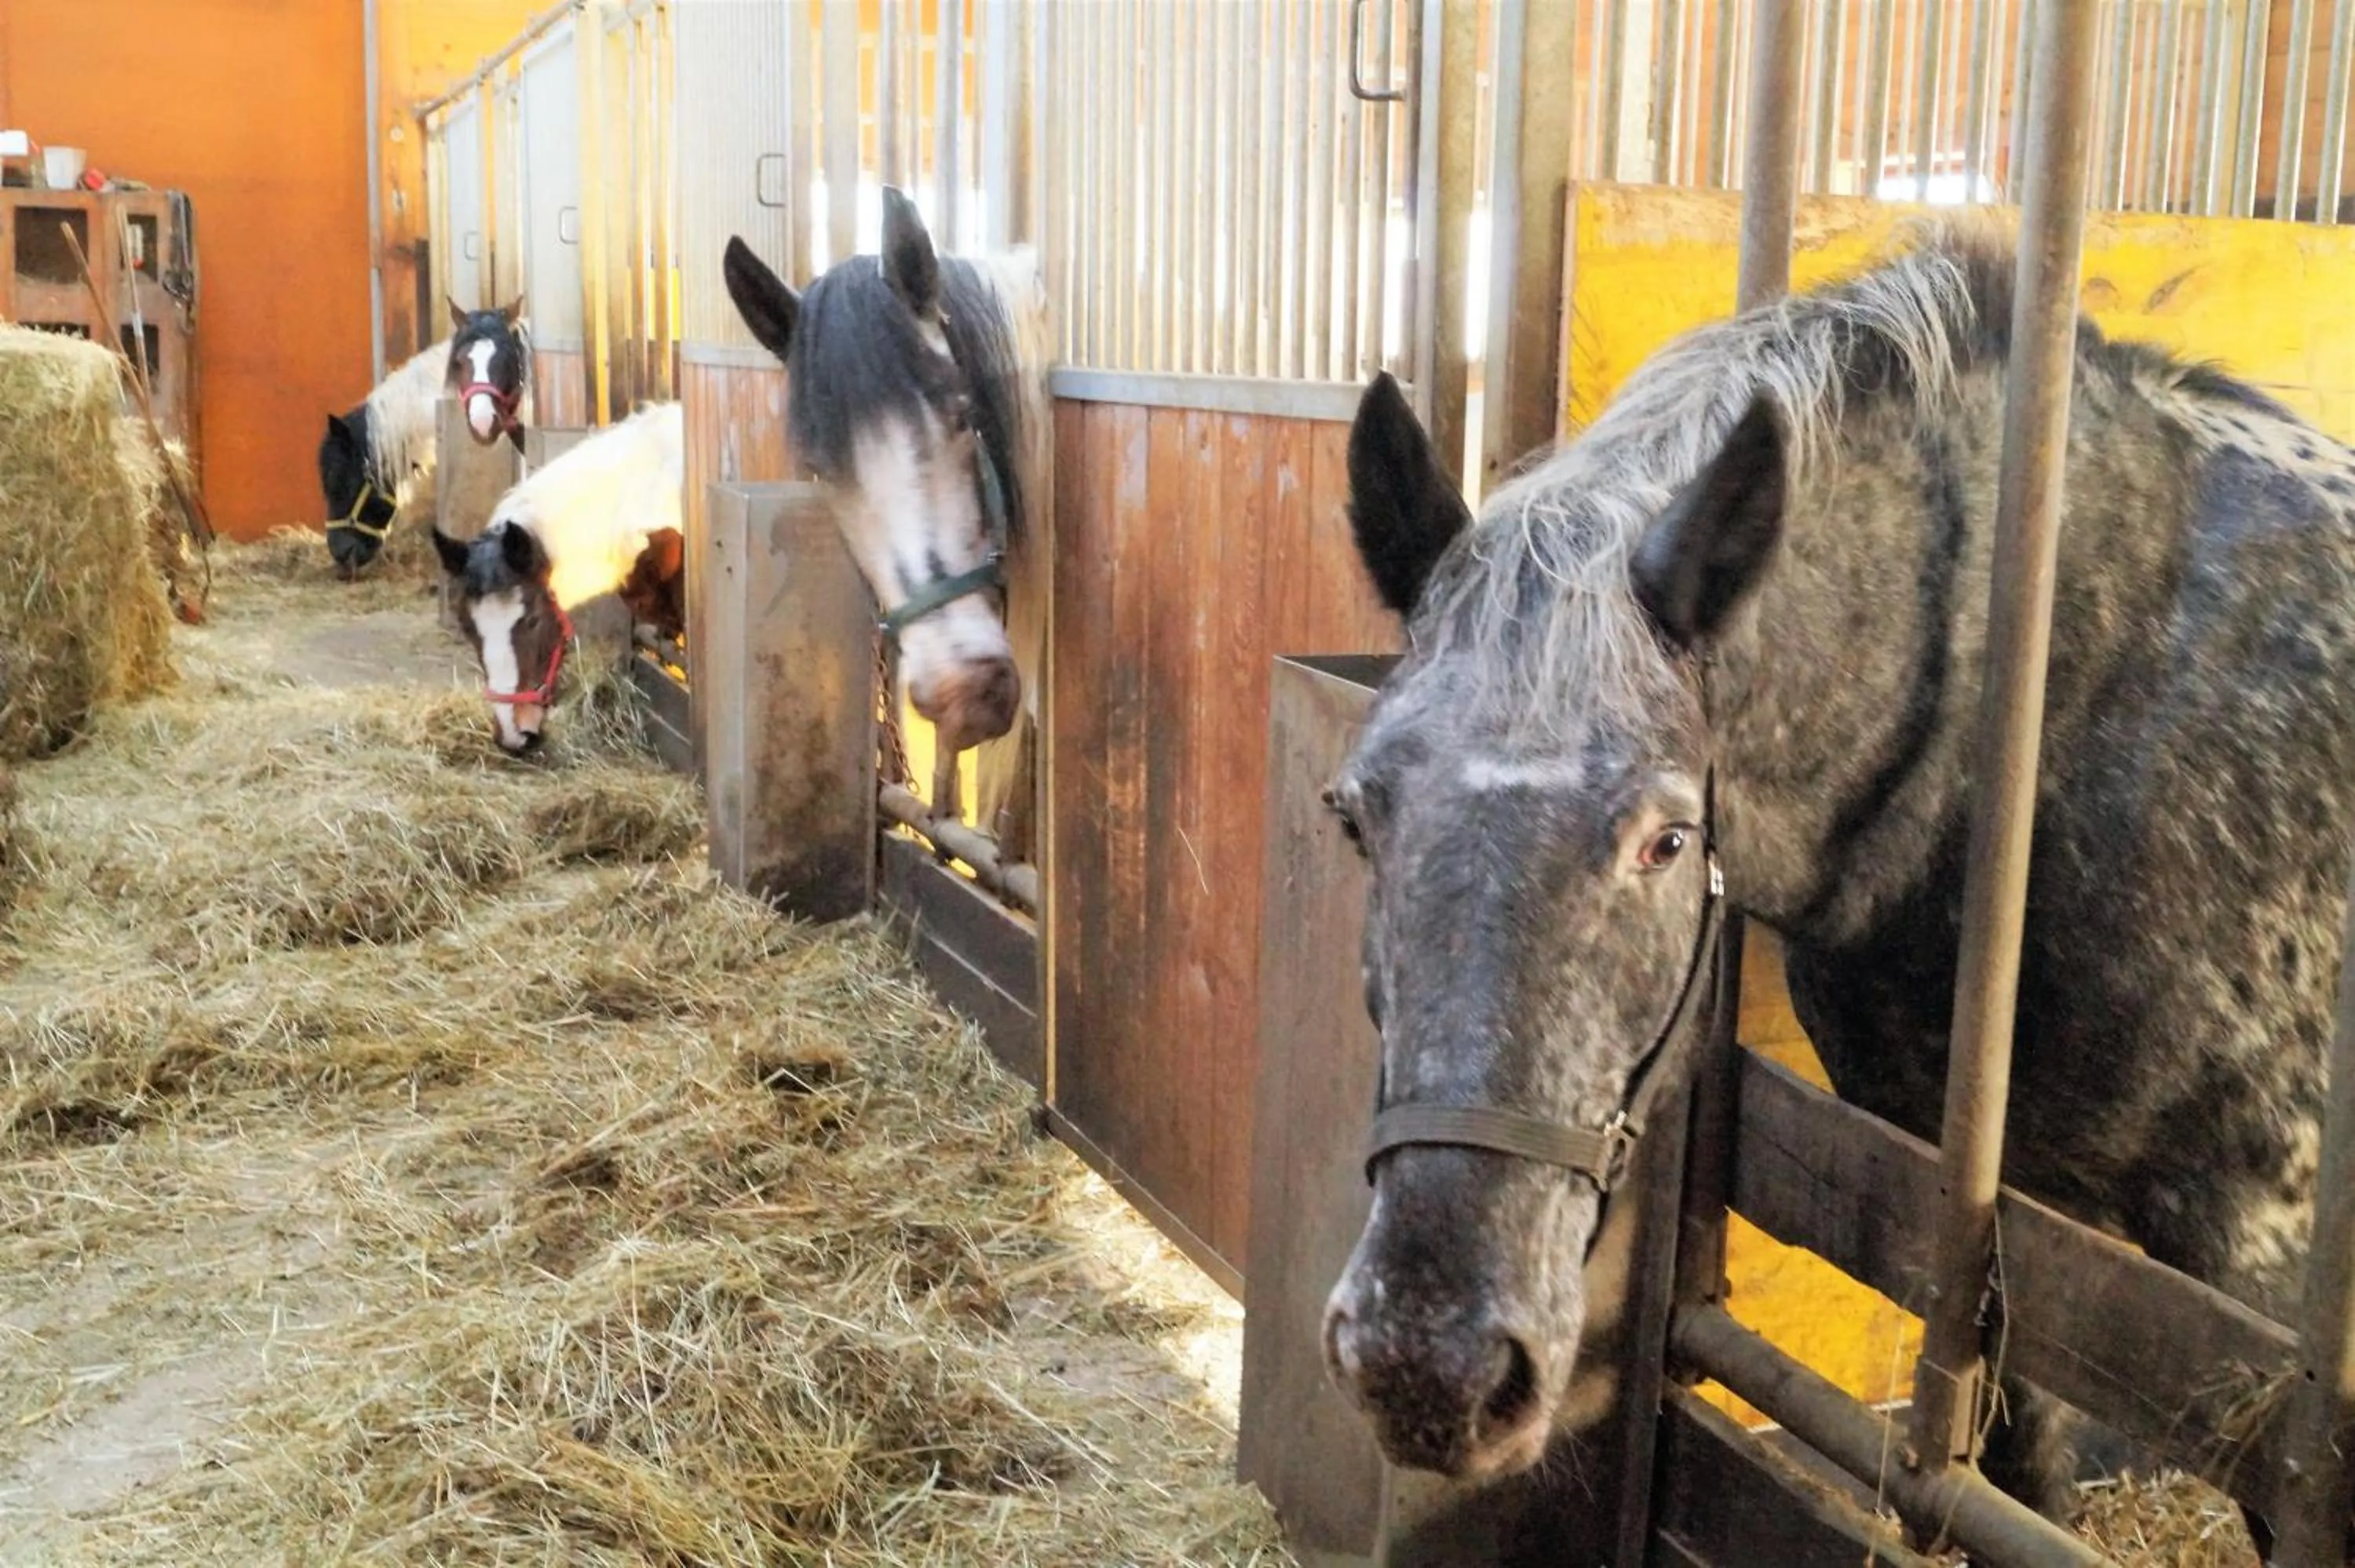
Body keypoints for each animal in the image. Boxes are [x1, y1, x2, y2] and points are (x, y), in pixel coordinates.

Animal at [1317, 217, 2355, 1550]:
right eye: (1355, 812)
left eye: (1667, 839)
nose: (1428, 1370)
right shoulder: (2006, 1228)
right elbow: (2026, 1470)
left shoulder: (2259, 1290)